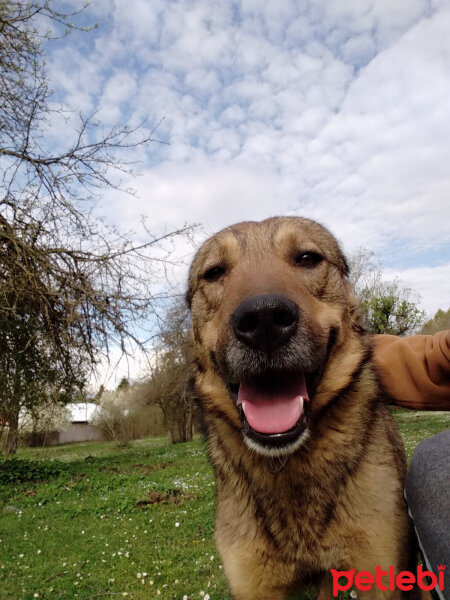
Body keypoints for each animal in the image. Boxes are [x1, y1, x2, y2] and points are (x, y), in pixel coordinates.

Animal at [186, 218, 418, 600]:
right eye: (214, 272)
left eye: (308, 258)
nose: (264, 319)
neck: (286, 463)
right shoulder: (255, 585)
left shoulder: (380, 573)